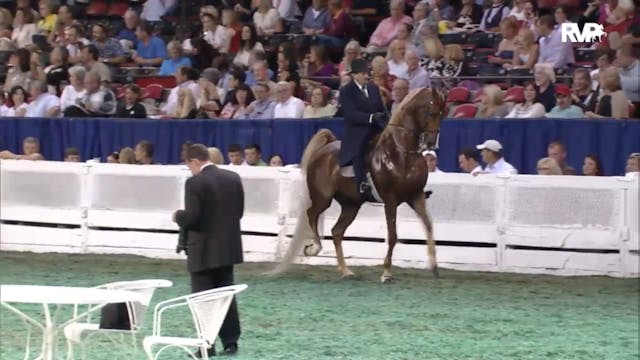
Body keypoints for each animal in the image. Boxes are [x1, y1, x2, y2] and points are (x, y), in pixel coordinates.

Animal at [274, 86, 444, 282]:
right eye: (430, 112)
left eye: (442, 113)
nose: (431, 143)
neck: (401, 153)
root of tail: (324, 148)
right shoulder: (390, 200)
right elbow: (393, 236)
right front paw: (386, 273)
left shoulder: (415, 196)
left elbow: (429, 225)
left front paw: (433, 265)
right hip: (323, 198)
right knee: (312, 214)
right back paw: (314, 248)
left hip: (351, 205)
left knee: (337, 232)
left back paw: (345, 270)